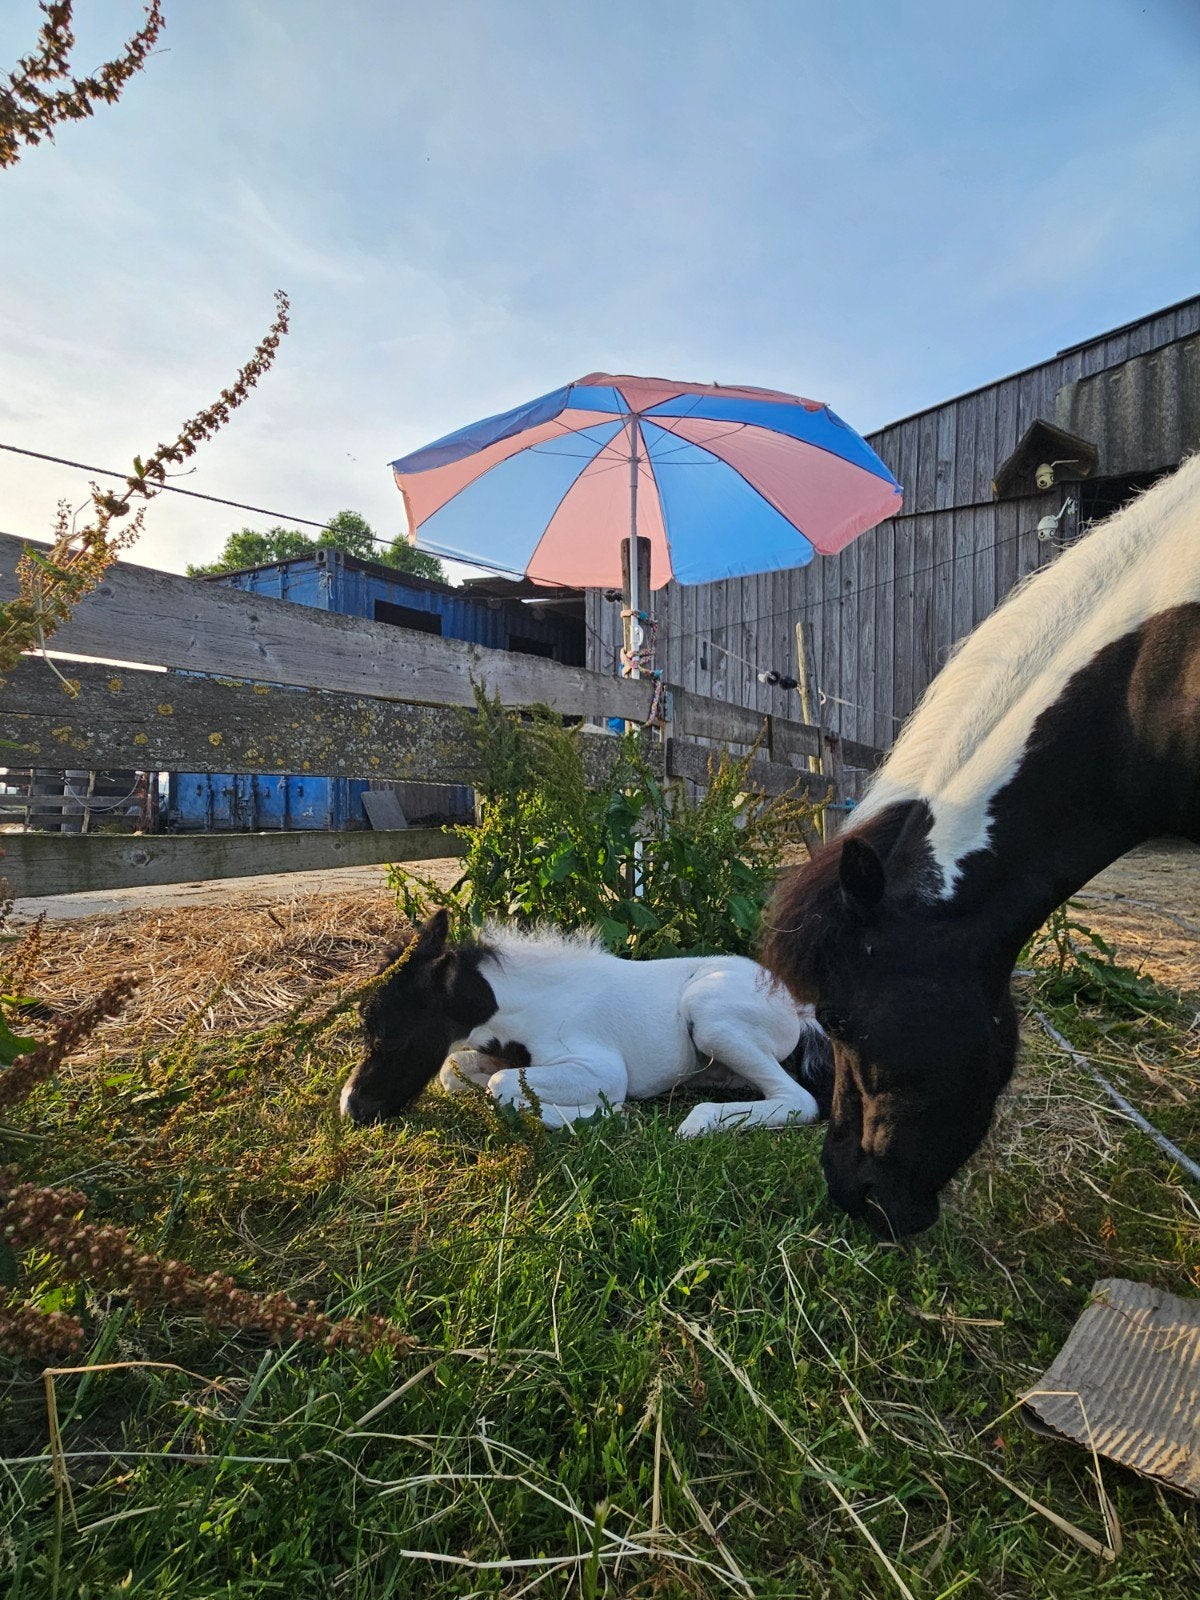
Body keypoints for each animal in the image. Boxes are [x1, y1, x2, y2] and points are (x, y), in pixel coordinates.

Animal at [339, 909, 834, 1136]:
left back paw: (696, 1122)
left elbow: (501, 1086)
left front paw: (609, 1113)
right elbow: (454, 1069)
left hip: (708, 1013)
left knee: (799, 1100)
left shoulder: (601, 1068)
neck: (535, 1002)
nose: (351, 1109)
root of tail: (797, 1005)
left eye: (393, 1033)